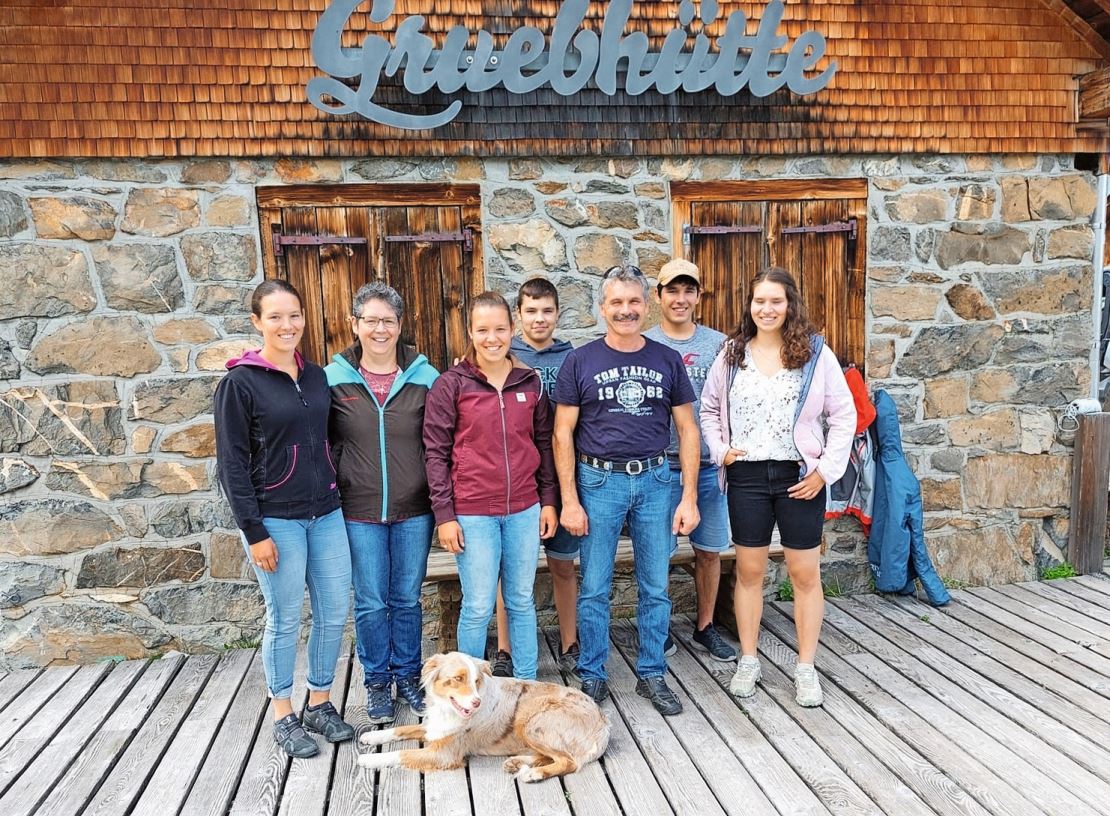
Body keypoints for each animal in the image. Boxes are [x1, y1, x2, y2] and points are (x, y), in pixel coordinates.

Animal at [357, 652, 608, 777]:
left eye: (476, 680)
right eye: (457, 679)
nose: (476, 702)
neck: (446, 709)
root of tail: (603, 723)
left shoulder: (444, 754)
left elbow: (401, 754)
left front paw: (368, 759)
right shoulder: (433, 727)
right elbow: (401, 729)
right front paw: (371, 737)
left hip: (532, 721)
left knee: (568, 762)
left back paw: (533, 774)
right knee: (552, 756)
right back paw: (517, 763)